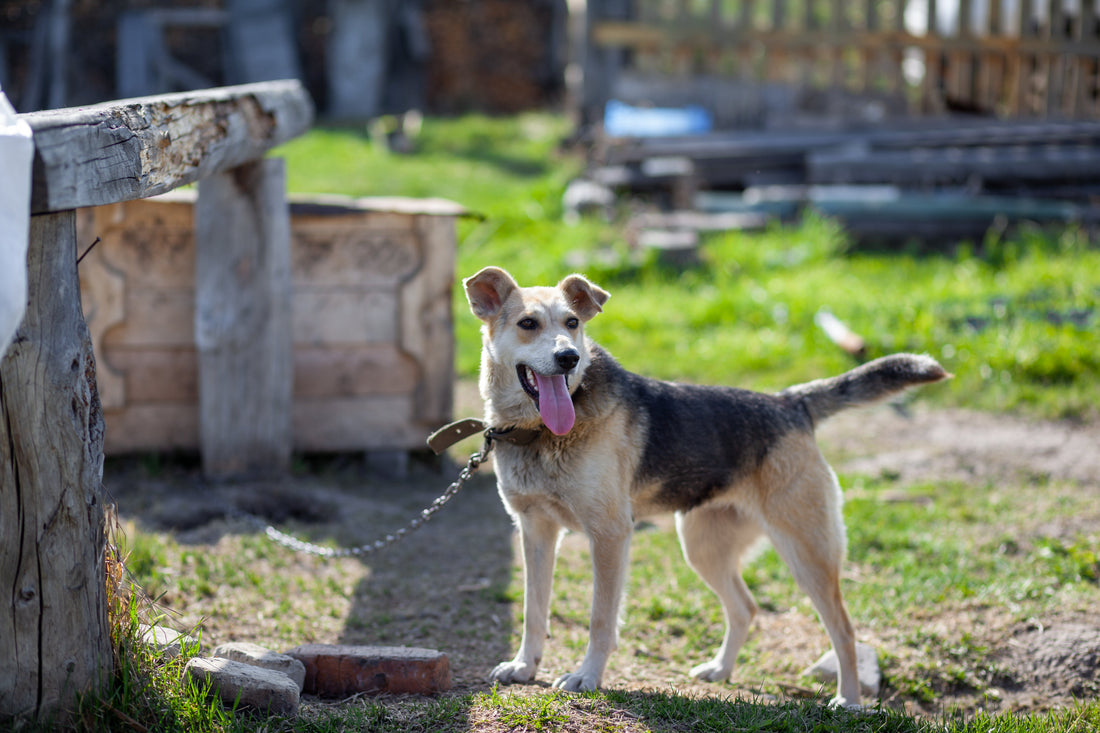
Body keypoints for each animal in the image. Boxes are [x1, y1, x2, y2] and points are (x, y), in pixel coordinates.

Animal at [464, 265, 946, 704]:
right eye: (528, 323)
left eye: (572, 324)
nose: (569, 358)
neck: (538, 433)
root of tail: (791, 403)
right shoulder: (535, 532)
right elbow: (533, 610)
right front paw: (524, 666)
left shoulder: (610, 535)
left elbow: (601, 620)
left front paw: (587, 676)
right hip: (703, 547)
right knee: (745, 607)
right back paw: (721, 669)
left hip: (807, 552)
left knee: (843, 629)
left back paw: (848, 700)